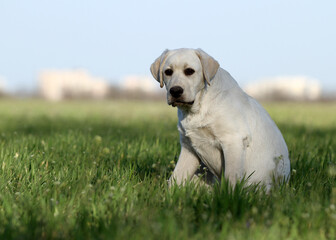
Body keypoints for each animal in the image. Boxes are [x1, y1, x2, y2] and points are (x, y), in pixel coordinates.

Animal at [151, 48, 290, 191]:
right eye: (168, 72)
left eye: (189, 71)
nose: (175, 91)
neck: (198, 106)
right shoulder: (188, 147)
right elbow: (175, 178)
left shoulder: (233, 141)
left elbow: (231, 178)